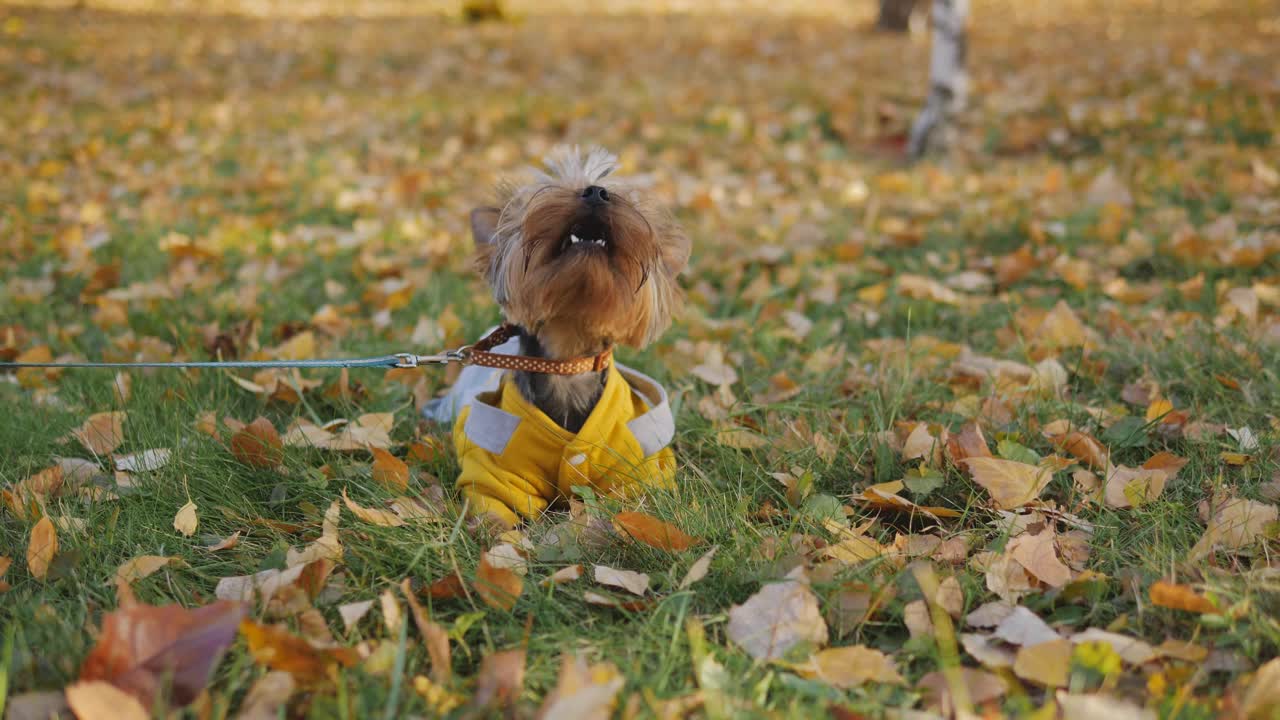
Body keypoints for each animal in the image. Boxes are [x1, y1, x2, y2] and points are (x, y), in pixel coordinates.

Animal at [424, 147, 691, 527]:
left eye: (615, 192)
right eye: (557, 188)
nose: (595, 192)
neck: (569, 356)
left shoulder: (635, 474)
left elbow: (627, 511)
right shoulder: (495, 475)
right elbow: (496, 512)